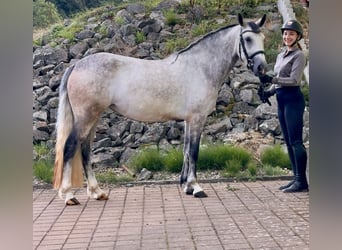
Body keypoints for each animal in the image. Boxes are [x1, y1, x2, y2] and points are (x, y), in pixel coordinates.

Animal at [53, 14, 268, 205]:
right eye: (247, 39)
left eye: (263, 39)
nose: (262, 68)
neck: (200, 68)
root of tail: (77, 65)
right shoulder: (197, 118)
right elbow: (194, 151)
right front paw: (196, 188)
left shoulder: (189, 120)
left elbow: (186, 150)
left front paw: (187, 186)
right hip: (86, 117)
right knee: (70, 146)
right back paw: (69, 195)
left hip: (94, 117)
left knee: (85, 150)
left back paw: (97, 192)